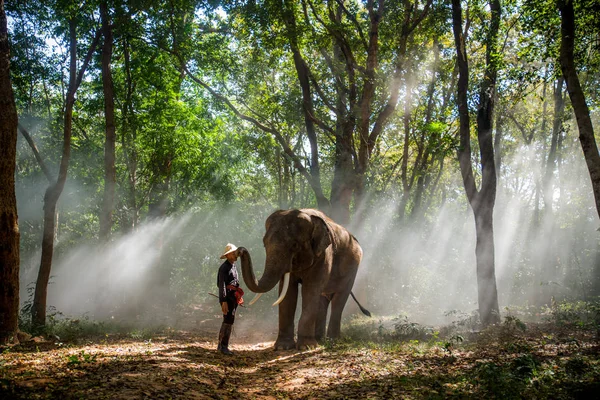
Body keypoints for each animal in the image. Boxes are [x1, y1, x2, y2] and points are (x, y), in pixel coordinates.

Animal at [236, 208, 368, 348]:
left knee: (339, 299)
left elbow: (310, 289)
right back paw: (320, 340)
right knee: (322, 300)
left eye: (294, 245)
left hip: (353, 269)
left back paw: (332, 341)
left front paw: (306, 347)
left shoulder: (323, 255)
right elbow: (288, 292)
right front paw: (283, 347)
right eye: (264, 244)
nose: (240, 250)